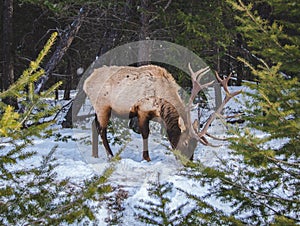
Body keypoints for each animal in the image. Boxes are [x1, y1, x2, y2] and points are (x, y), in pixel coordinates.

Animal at [82, 64, 241, 161]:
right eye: (186, 143)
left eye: (195, 145)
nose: (189, 162)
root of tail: (86, 82)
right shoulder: (142, 110)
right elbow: (145, 133)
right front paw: (147, 158)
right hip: (102, 106)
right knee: (102, 129)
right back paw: (111, 155)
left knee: (93, 125)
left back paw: (94, 154)